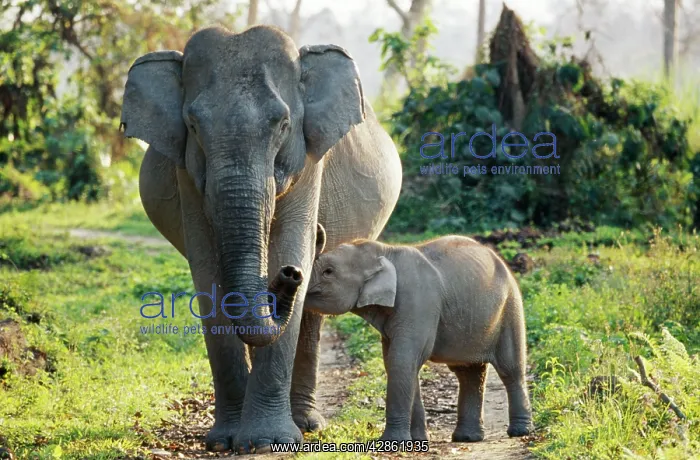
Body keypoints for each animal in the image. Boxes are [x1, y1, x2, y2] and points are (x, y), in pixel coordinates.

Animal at [120, 25, 402, 452]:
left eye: (283, 124)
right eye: (193, 126)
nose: (288, 275)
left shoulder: (308, 160)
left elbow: (291, 243)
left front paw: (267, 442)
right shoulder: (187, 170)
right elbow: (207, 271)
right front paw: (224, 441)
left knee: (311, 313)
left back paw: (305, 423)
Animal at [306, 228, 533, 442]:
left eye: (328, 271)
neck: (385, 251)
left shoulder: (418, 302)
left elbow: (402, 360)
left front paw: (393, 443)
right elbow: (397, 362)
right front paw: (417, 440)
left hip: (510, 308)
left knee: (510, 369)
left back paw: (519, 432)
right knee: (468, 372)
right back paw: (467, 437)